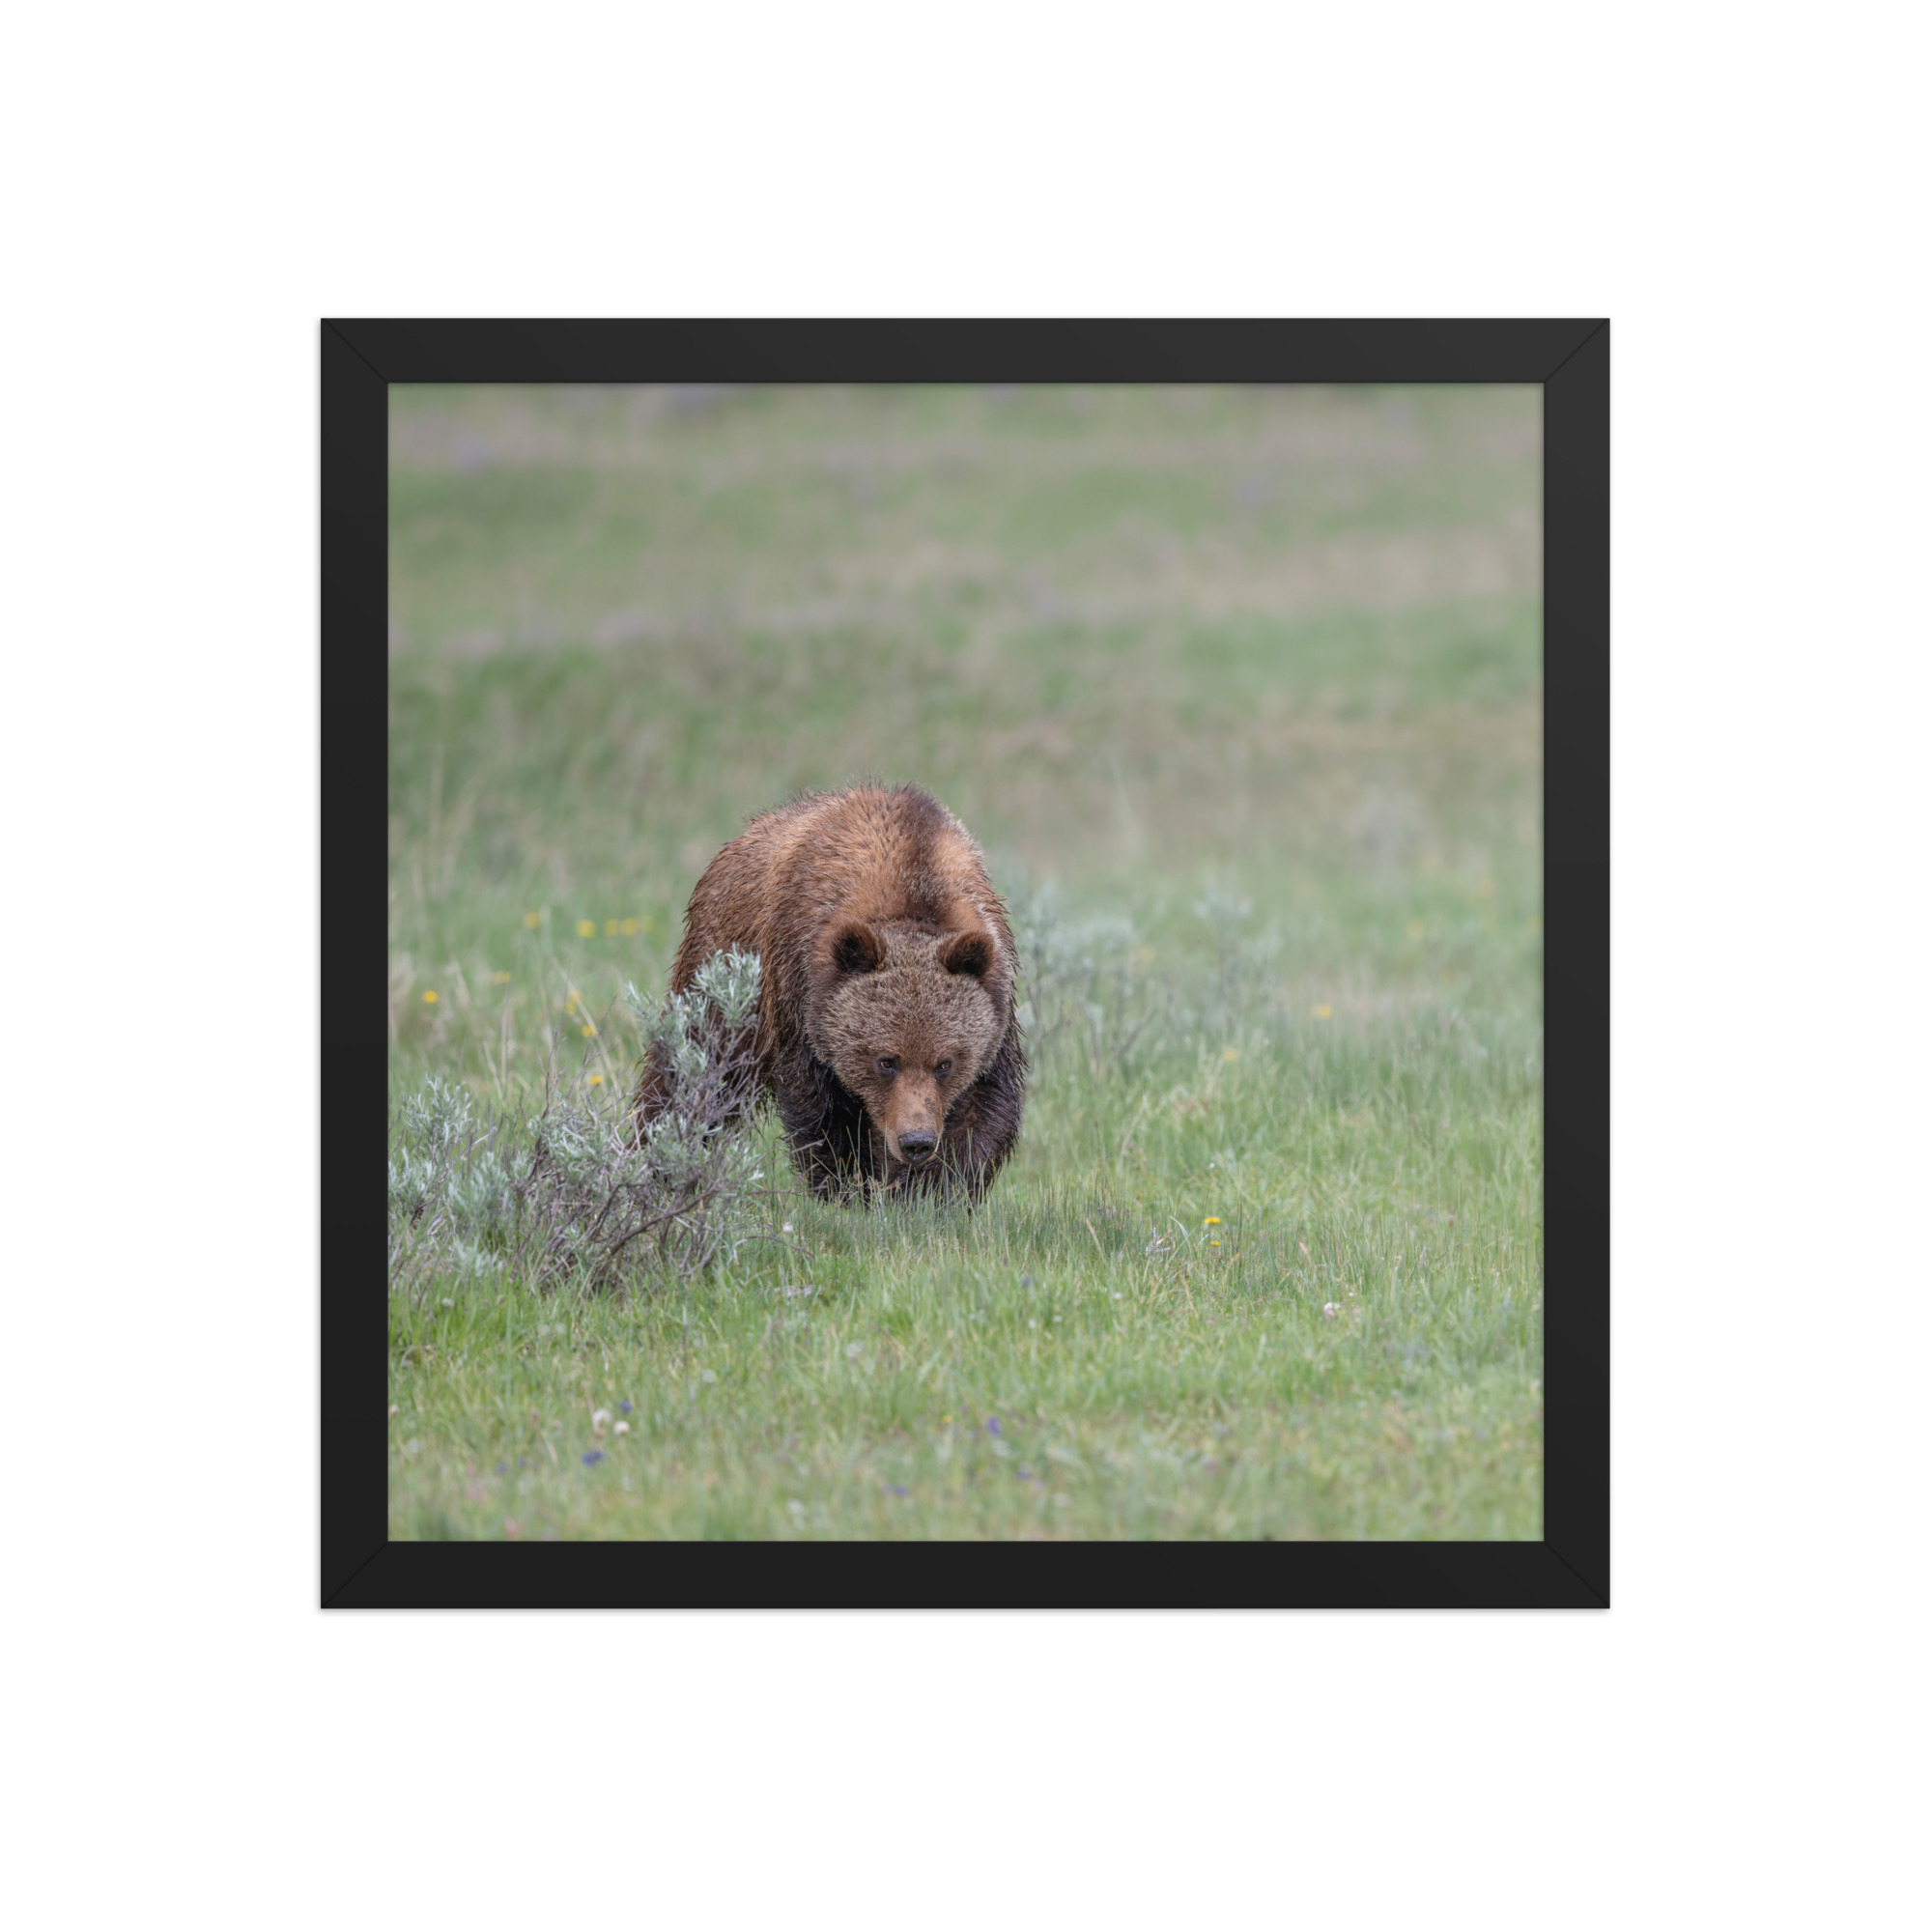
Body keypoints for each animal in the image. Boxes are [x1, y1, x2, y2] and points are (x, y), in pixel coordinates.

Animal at [634, 783, 1027, 1202]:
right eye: (886, 1061)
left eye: (945, 1063)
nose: (916, 1141)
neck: (913, 884)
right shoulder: (800, 993)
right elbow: (822, 1112)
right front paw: (847, 1188)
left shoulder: (995, 1004)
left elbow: (983, 1110)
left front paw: (930, 1192)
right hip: (723, 971)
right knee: (694, 1068)